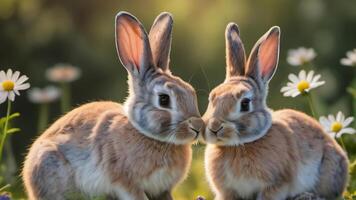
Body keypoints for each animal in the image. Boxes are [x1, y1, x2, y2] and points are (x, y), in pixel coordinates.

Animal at [23, 11, 203, 199]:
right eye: (164, 99)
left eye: (191, 91)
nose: (198, 127)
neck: (150, 137)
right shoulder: (125, 182)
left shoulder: (163, 190)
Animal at [203, 23, 348, 200]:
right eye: (211, 98)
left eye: (245, 104)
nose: (214, 127)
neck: (237, 145)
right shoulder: (227, 192)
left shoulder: (276, 185)